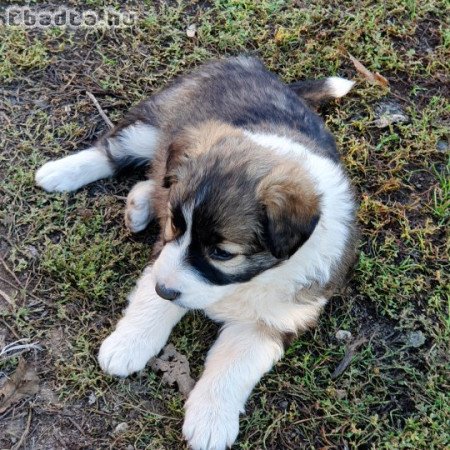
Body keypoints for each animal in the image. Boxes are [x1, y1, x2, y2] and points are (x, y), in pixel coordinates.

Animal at [35, 56, 358, 450]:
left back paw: (140, 204)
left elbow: (232, 367)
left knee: (154, 176)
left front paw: (211, 422)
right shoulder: (165, 255)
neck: (249, 281)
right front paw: (126, 346)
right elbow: (152, 305)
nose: (164, 289)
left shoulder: (271, 320)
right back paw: (60, 173)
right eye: (176, 227)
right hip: (154, 122)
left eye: (221, 253)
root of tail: (254, 65)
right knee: (114, 151)